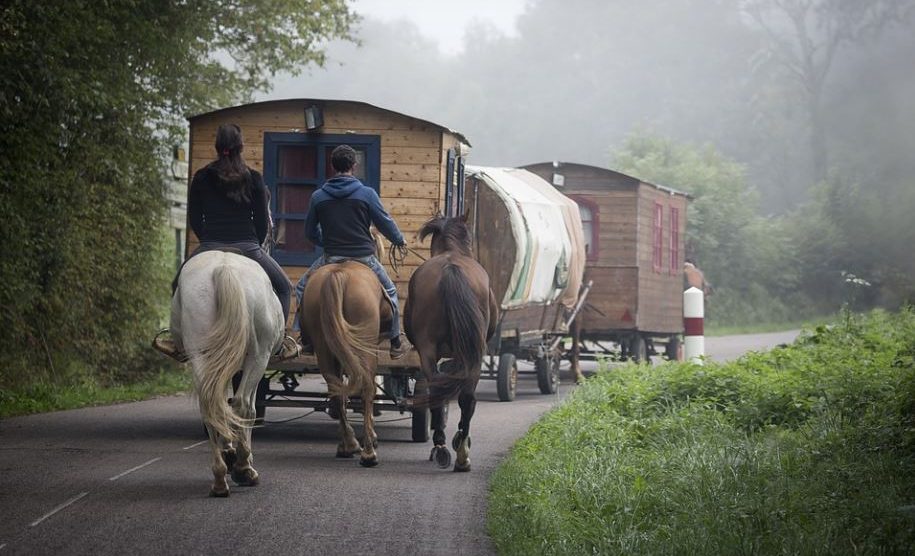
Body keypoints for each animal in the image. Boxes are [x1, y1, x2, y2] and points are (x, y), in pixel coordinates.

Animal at [170, 250, 284, 498]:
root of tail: (224, 268)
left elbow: (223, 405)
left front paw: (229, 453)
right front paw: (240, 460)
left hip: (201, 355)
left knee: (210, 406)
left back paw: (220, 478)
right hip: (258, 357)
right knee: (243, 406)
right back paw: (243, 469)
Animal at [296, 260, 390, 464]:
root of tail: (338, 275)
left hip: (323, 346)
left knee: (336, 389)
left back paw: (349, 445)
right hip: (364, 347)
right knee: (367, 389)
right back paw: (368, 452)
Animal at [404, 215, 498, 472]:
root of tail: (450, 269)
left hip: (431, 351)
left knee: (441, 390)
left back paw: (444, 447)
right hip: (472, 354)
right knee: (464, 397)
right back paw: (460, 450)